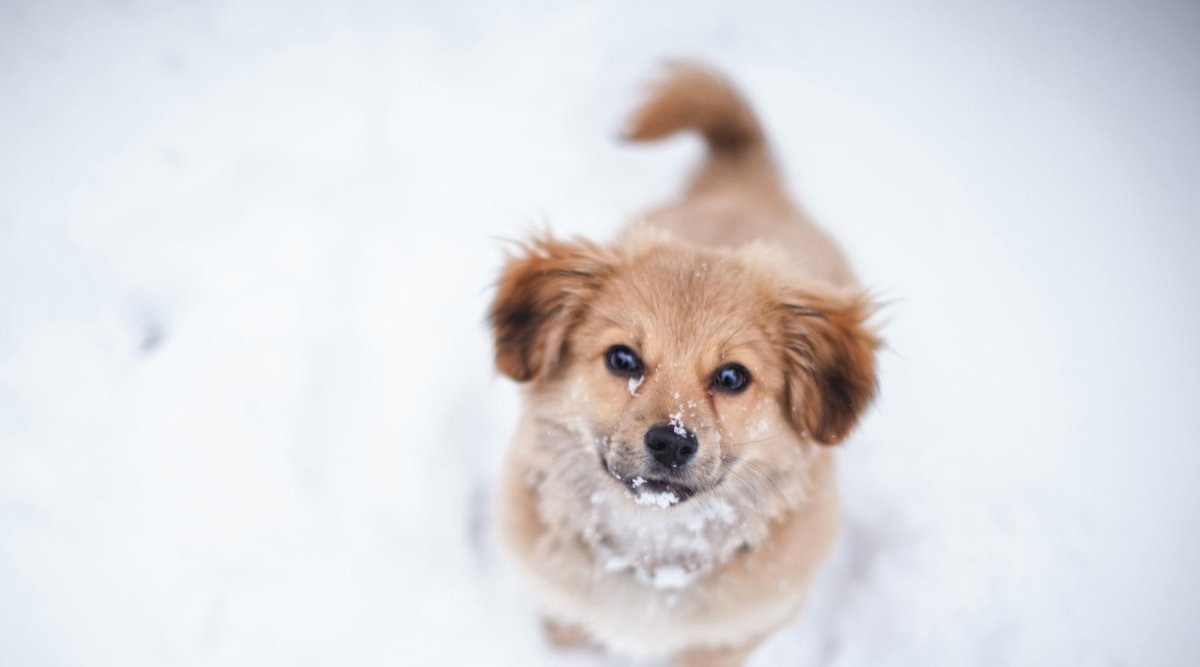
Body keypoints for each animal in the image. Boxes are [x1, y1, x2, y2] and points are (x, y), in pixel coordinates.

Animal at [487, 63, 883, 667]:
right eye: (622, 358)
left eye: (732, 377)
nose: (671, 442)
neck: (656, 545)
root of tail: (743, 181)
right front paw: (567, 637)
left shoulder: (732, 636)